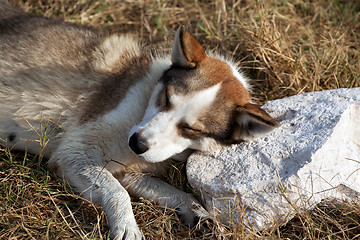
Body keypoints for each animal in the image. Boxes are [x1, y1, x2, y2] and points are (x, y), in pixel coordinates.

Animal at [0, 1, 278, 238]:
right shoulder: (74, 153)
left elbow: (174, 193)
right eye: (166, 97)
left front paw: (200, 213)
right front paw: (127, 226)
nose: (137, 143)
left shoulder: (127, 172)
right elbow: (117, 191)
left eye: (191, 129)